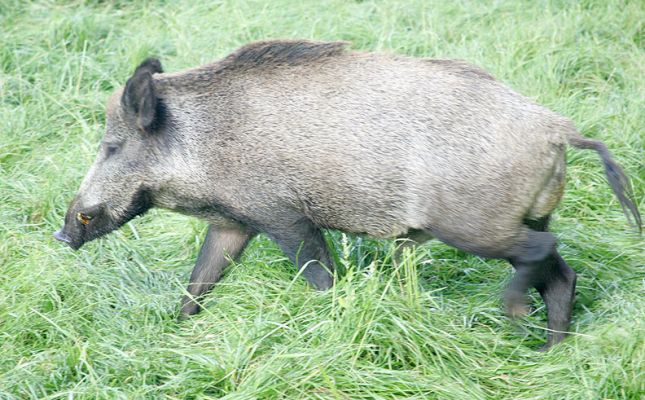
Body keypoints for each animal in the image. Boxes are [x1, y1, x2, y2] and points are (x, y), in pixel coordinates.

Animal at [54, 40, 641, 349]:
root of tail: (558, 129)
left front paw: (332, 316)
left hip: (474, 224)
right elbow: (201, 279)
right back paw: (550, 348)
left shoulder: (285, 215)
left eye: (111, 146)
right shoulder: (234, 221)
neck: (204, 145)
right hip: (527, 216)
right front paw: (175, 331)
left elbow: (319, 275)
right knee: (561, 272)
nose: (62, 232)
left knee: (542, 256)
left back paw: (513, 314)